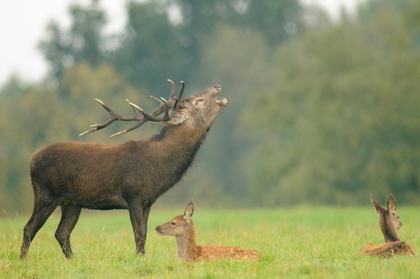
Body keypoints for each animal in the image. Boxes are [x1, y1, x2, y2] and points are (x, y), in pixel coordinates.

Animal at [20, 80, 228, 260]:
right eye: (197, 100)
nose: (217, 86)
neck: (158, 166)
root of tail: (32, 159)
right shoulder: (133, 196)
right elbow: (139, 233)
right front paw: (139, 258)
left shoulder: (148, 201)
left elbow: (145, 233)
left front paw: (142, 257)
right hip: (45, 192)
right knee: (30, 228)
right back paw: (23, 260)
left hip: (71, 202)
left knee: (62, 232)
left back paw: (72, 260)